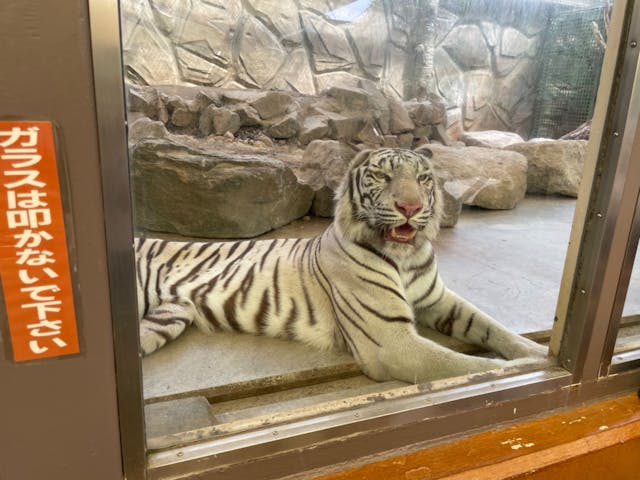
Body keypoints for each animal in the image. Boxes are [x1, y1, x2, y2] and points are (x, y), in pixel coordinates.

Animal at [138, 146, 548, 382]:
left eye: (423, 178)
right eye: (383, 176)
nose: (410, 207)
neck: (405, 260)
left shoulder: (437, 300)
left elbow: (493, 328)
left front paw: (541, 353)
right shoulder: (390, 342)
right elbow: (467, 366)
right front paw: (527, 371)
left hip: (166, 319)